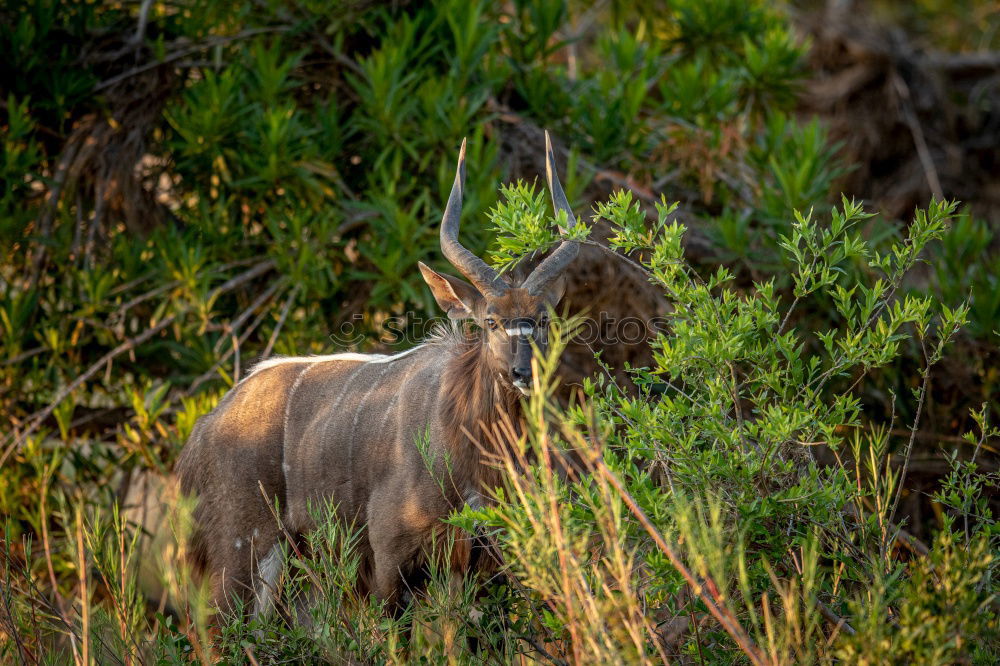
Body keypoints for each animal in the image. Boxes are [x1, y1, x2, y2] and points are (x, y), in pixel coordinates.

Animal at [177, 131, 584, 616]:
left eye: (542, 319)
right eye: (490, 321)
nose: (524, 372)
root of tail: (205, 428)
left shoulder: (487, 565)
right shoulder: (391, 558)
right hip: (243, 551)